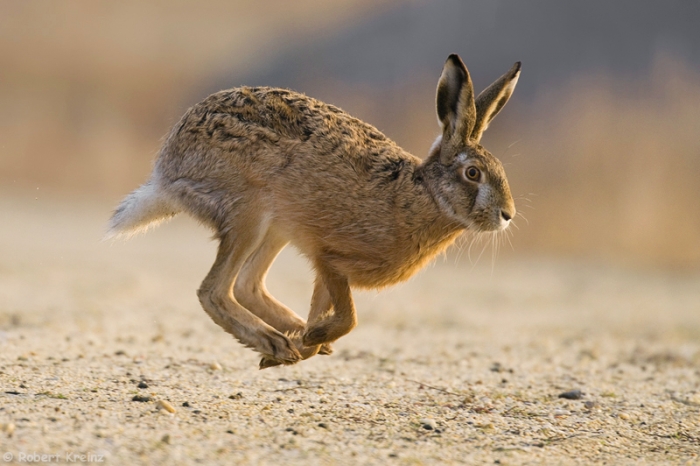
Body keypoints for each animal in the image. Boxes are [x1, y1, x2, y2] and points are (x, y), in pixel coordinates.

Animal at [107, 54, 520, 369]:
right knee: (215, 291)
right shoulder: (330, 257)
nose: (507, 215)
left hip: (276, 227)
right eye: (472, 173)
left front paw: (310, 338)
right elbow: (349, 317)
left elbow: (327, 310)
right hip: (250, 211)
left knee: (247, 285)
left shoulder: (326, 268)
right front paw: (313, 336)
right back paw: (275, 343)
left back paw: (289, 338)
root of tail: (166, 172)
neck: (423, 194)